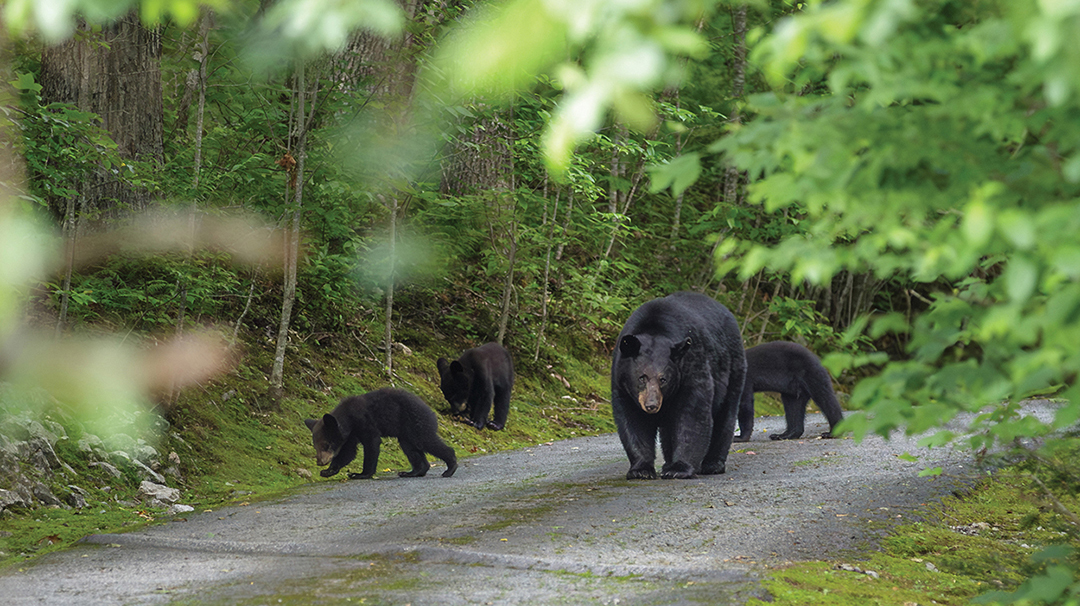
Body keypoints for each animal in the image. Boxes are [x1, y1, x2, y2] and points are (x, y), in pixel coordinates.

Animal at [304, 388, 457, 479]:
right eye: (315, 446)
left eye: (326, 445)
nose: (320, 462)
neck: (348, 418)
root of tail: (430, 410)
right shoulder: (351, 434)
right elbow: (348, 452)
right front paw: (328, 471)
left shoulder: (365, 423)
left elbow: (371, 444)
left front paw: (361, 474)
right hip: (405, 433)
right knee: (411, 449)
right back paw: (413, 472)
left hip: (416, 422)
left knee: (426, 441)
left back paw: (450, 468)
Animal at [610, 291, 746, 480]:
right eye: (642, 378)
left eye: (663, 379)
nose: (651, 405)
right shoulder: (622, 383)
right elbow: (633, 420)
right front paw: (641, 470)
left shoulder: (692, 367)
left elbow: (691, 415)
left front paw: (679, 468)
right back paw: (668, 463)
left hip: (733, 367)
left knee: (725, 414)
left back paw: (712, 464)